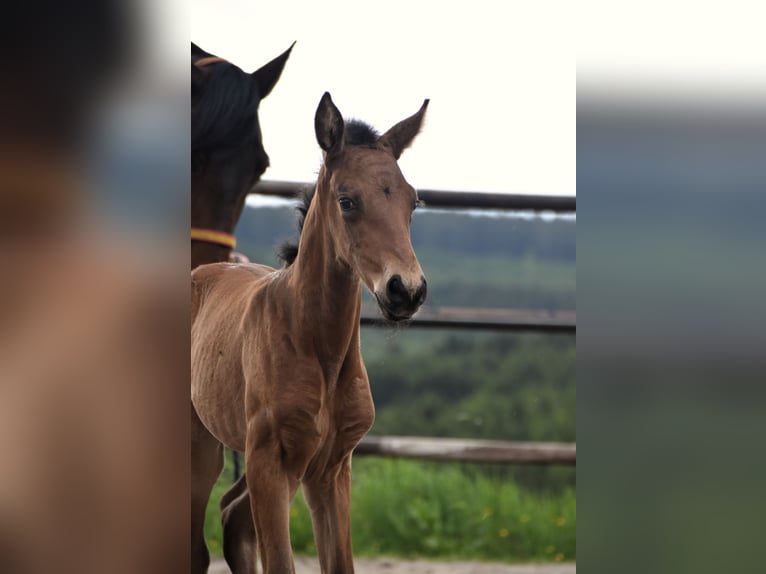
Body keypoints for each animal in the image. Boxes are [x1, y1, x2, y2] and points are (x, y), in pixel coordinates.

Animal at [191, 92, 428, 572]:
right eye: (346, 200)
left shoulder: (332, 468)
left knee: (231, 515)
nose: (407, 290)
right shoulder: (271, 463)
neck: (320, 349)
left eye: (412, 201)